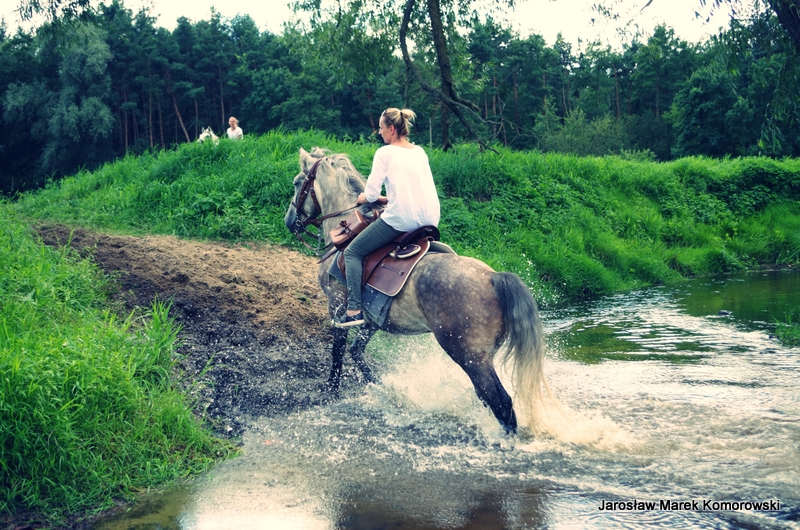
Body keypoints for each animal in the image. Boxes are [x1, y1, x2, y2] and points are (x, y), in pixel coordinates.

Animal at [284, 147, 548, 434]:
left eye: (297, 183)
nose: (289, 221)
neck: (344, 230)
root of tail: (493, 278)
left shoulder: (338, 306)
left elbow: (338, 350)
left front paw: (332, 390)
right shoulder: (373, 317)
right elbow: (356, 351)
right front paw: (384, 389)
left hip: (470, 357)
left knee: (501, 402)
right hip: (482, 358)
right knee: (487, 398)